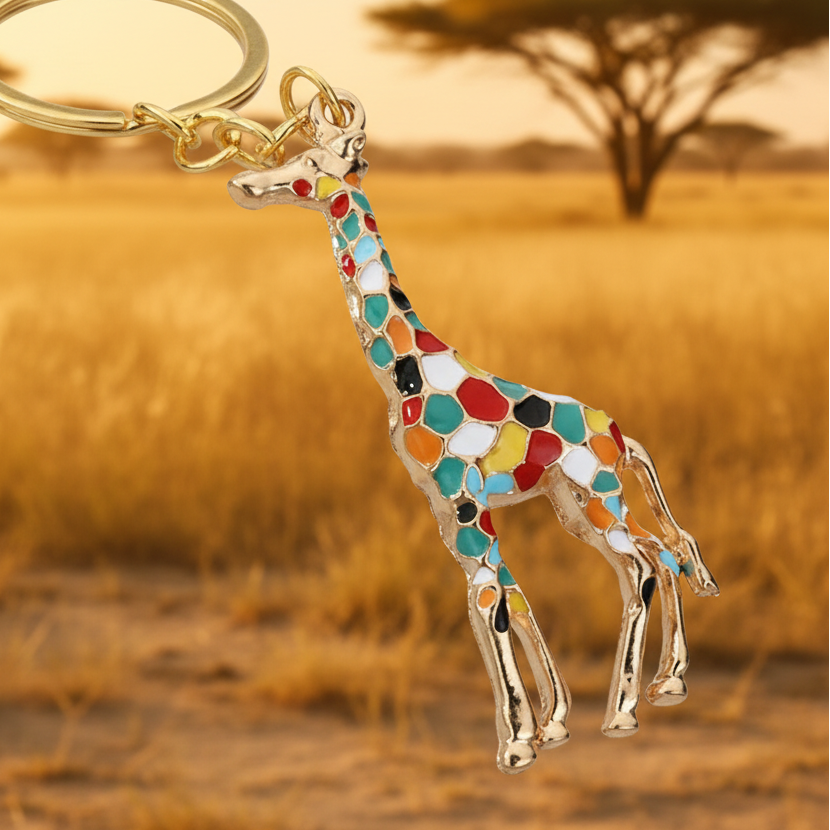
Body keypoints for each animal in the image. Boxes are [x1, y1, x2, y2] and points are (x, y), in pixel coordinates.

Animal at [228, 91, 719, 775]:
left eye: (309, 161)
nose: (244, 185)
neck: (405, 373)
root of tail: (621, 435)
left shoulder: (463, 500)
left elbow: (489, 602)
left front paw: (516, 743)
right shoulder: (446, 506)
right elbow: (510, 599)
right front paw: (551, 725)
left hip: (597, 494)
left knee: (644, 566)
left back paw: (624, 711)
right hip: (578, 503)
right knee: (663, 555)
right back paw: (665, 684)